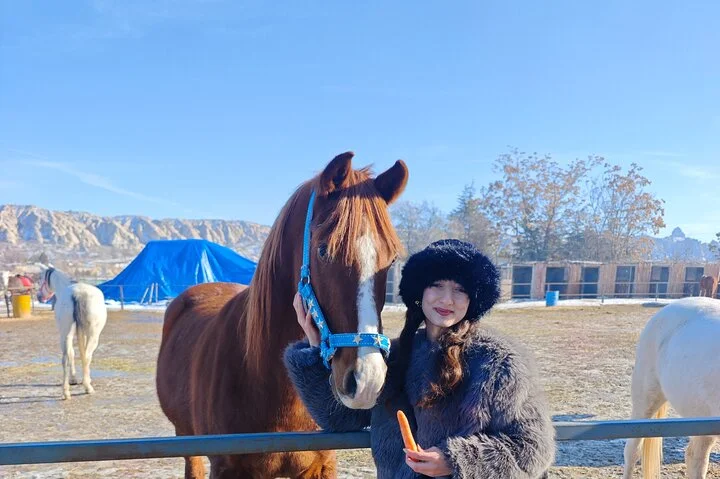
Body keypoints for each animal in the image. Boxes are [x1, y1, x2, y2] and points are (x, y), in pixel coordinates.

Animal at [38, 267, 108, 400]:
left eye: (40, 279)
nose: (39, 296)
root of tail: (77, 294)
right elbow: (83, 354)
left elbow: (73, 353)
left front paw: (73, 379)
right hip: (93, 335)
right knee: (87, 356)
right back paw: (88, 387)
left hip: (65, 334)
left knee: (65, 358)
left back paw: (66, 392)